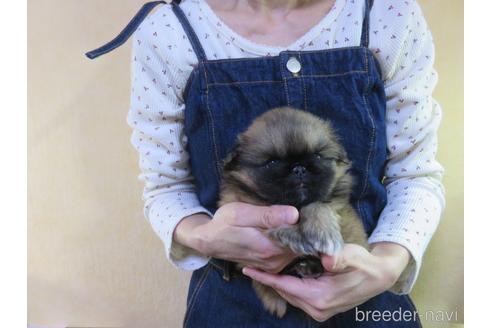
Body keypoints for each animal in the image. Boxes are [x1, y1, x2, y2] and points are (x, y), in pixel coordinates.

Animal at [217, 106, 368, 316]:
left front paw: (321, 231)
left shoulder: (336, 206)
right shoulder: (239, 204)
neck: (296, 204)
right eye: (272, 162)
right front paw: (294, 237)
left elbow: (316, 206)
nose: (299, 168)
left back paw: (308, 267)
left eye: (318, 156)